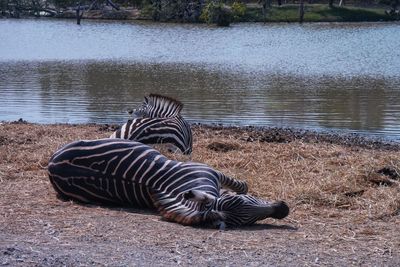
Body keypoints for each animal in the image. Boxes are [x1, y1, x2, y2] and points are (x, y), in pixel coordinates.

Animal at [48, 139, 290, 229]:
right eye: (247, 222)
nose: (284, 209)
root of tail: (51, 165)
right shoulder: (211, 171)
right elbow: (241, 184)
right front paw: (242, 185)